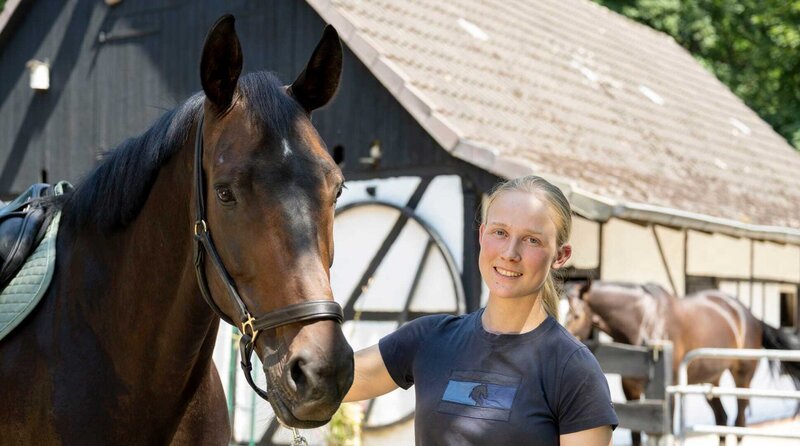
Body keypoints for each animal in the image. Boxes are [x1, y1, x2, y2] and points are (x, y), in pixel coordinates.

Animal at [564, 280, 800, 446]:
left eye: (576, 315)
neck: (645, 321)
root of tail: (749, 315)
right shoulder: (631, 391)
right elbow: (636, 436)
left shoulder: (667, 395)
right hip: (711, 380)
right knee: (722, 418)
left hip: (743, 377)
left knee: (739, 423)